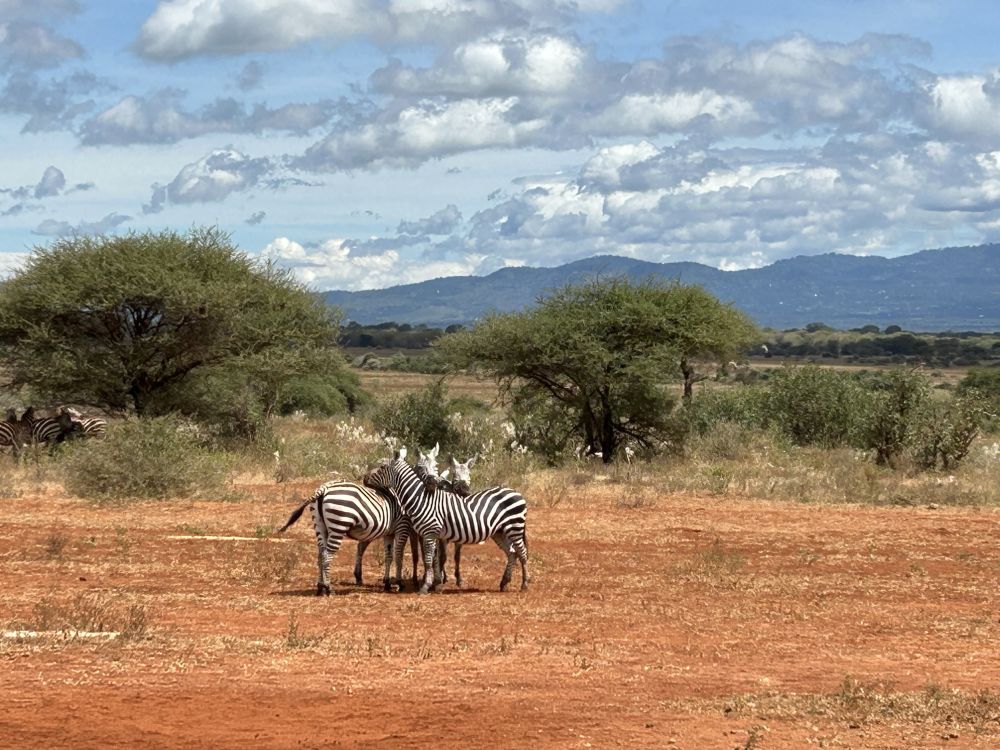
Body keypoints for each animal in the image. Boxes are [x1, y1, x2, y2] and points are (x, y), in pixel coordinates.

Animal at [276, 479, 414, 596]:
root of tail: (324, 488)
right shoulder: (403, 526)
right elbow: (399, 555)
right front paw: (399, 583)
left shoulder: (389, 533)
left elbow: (389, 556)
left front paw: (387, 583)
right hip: (339, 524)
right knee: (327, 556)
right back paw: (328, 588)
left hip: (320, 526)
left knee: (321, 555)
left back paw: (320, 587)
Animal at [365, 447, 529, 594]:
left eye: (382, 467)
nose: (365, 478)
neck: (421, 499)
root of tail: (516, 492)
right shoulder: (429, 534)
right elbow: (433, 559)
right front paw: (436, 584)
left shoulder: (430, 533)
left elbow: (429, 560)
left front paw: (426, 587)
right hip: (500, 532)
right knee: (512, 553)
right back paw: (504, 583)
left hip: (514, 528)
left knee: (522, 553)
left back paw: (524, 584)